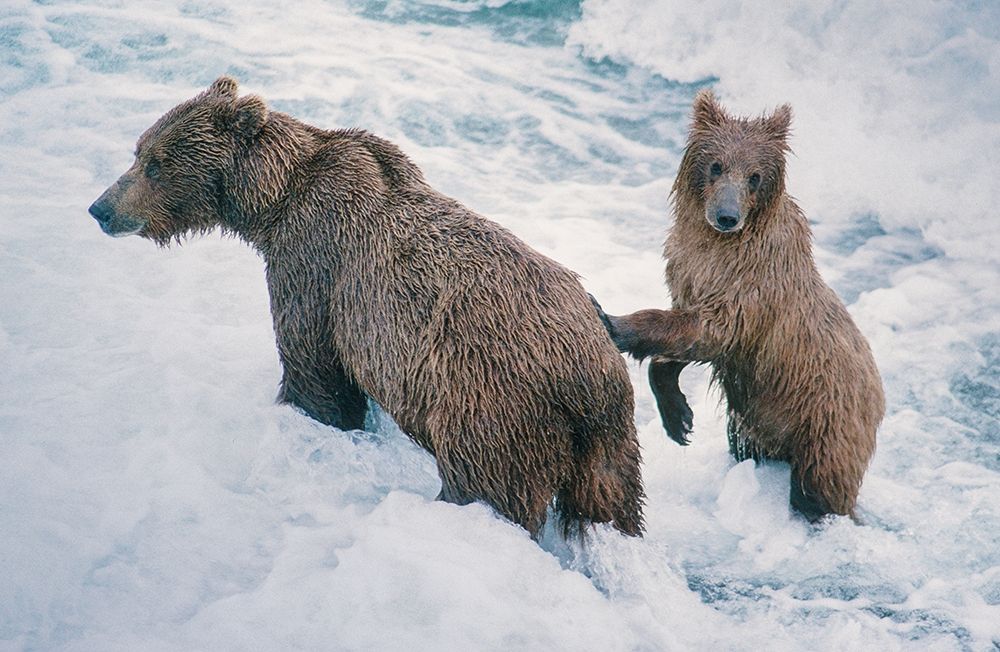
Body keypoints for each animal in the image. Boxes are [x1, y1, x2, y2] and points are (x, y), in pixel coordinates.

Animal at [88, 76, 645, 539]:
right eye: (138, 151)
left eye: (156, 163)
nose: (101, 208)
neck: (274, 200)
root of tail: (590, 379)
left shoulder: (316, 260)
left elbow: (312, 361)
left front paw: (312, 414)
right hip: (609, 441)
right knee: (611, 502)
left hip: (489, 398)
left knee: (490, 484)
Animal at [596, 90, 884, 521]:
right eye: (716, 165)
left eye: (755, 175)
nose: (727, 216)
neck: (717, 248)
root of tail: (879, 397)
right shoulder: (687, 270)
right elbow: (689, 337)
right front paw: (679, 418)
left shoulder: (753, 285)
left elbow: (711, 329)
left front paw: (611, 320)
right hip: (760, 422)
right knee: (750, 445)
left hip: (828, 422)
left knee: (818, 485)